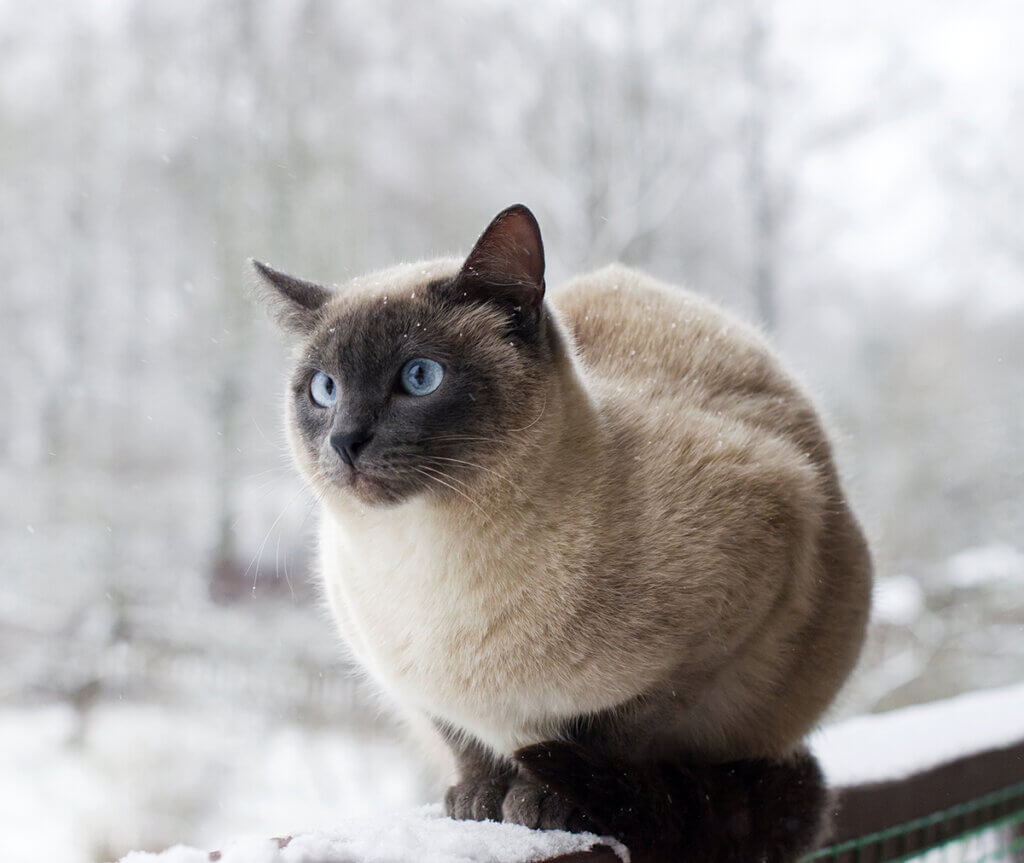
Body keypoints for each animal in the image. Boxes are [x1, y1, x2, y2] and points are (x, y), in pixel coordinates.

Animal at [251, 203, 868, 863]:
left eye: (419, 377)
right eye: (324, 389)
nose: (345, 441)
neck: (429, 561)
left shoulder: (717, 632)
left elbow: (604, 733)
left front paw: (541, 802)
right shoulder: (409, 684)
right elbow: (466, 742)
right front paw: (477, 801)